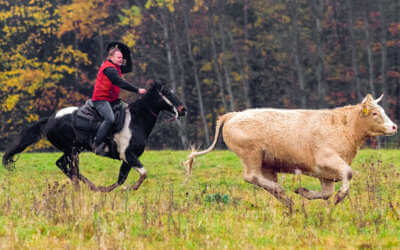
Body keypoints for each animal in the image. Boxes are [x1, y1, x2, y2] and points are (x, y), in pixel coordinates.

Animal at [1, 82, 186, 191]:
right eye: (167, 93)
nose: (183, 110)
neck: (135, 120)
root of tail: (50, 119)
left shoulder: (128, 159)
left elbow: (122, 179)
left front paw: (112, 189)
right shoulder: (128, 155)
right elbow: (142, 173)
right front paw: (127, 189)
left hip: (72, 150)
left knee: (63, 165)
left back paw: (89, 187)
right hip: (72, 151)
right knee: (71, 169)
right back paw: (83, 188)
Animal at [184, 94, 396, 209]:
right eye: (375, 113)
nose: (394, 127)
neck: (344, 128)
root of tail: (233, 115)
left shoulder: (325, 174)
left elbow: (326, 193)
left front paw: (303, 192)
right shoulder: (326, 159)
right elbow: (347, 175)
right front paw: (340, 197)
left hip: (267, 164)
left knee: (263, 181)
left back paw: (287, 200)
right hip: (251, 155)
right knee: (251, 177)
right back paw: (282, 192)